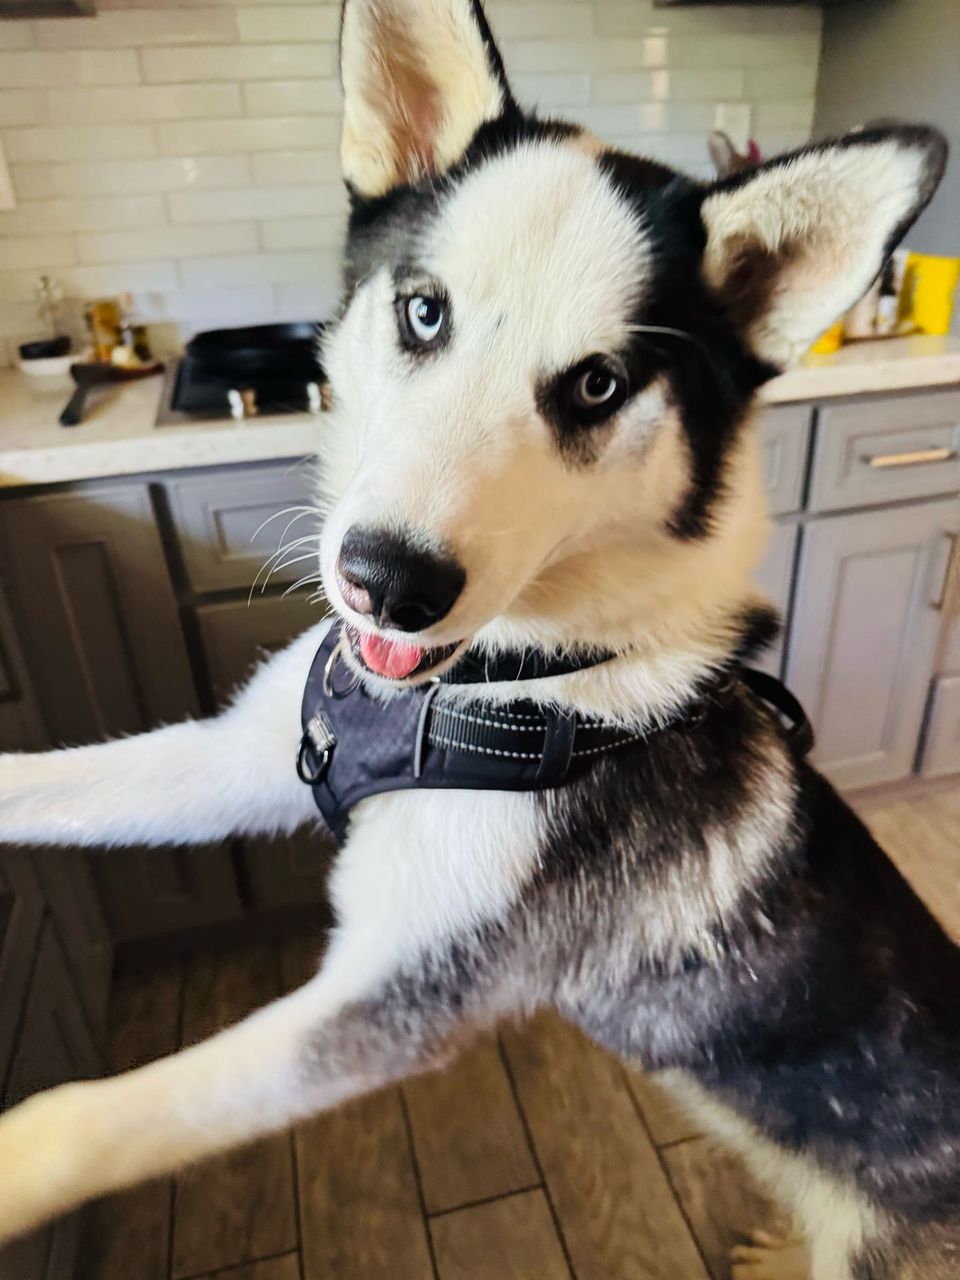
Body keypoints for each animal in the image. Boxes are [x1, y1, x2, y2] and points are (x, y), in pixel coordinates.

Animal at [0, 2, 956, 1276]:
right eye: (423, 312)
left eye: (598, 385)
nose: (385, 585)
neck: (516, 686)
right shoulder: (237, 754)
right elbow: (63, 783)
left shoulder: (398, 1001)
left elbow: (82, 1118)